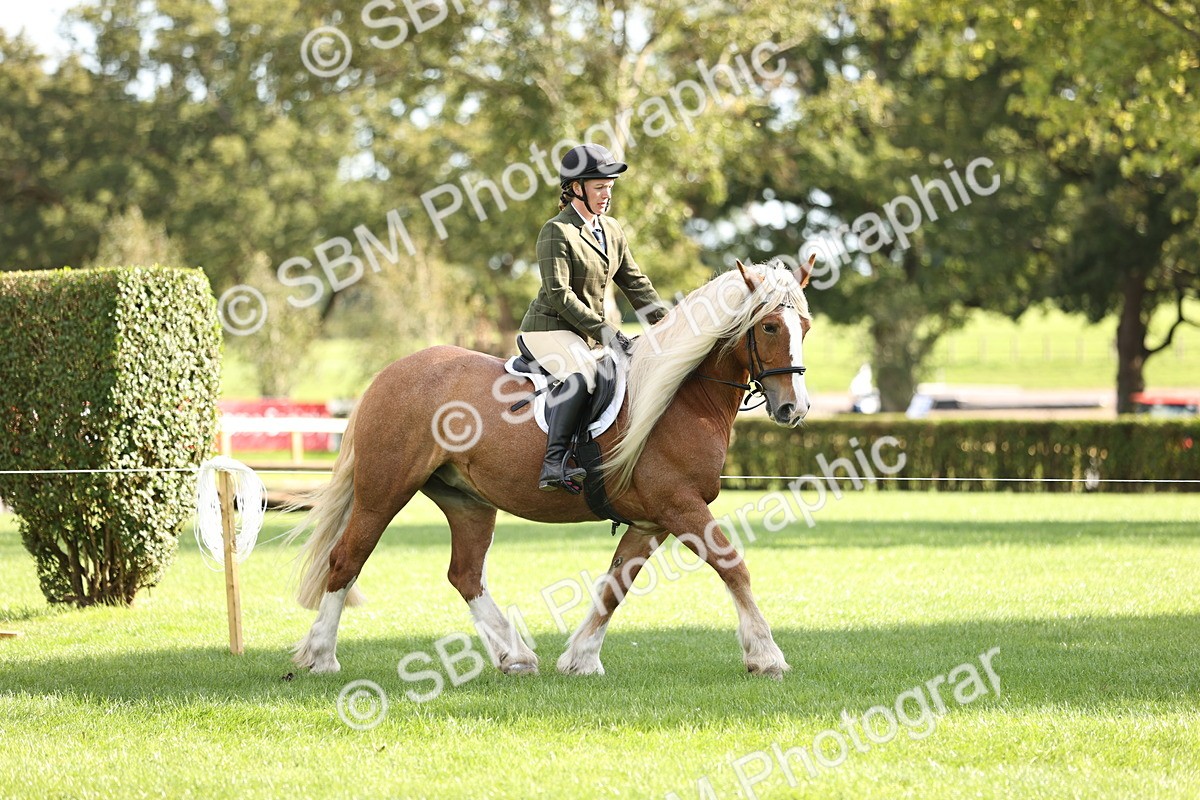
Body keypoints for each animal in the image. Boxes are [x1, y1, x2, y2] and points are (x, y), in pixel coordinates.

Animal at [289, 256, 814, 679]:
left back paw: (516, 657)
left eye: (805, 327)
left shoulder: (651, 520)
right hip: (383, 492)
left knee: (466, 575)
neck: (679, 397)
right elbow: (732, 565)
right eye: (770, 327)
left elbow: (615, 587)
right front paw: (766, 656)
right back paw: (321, 657)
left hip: (466, 501)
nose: (794, 408)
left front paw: (581, 659)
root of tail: (390, 373)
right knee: (347, 559)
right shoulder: (679, 505)